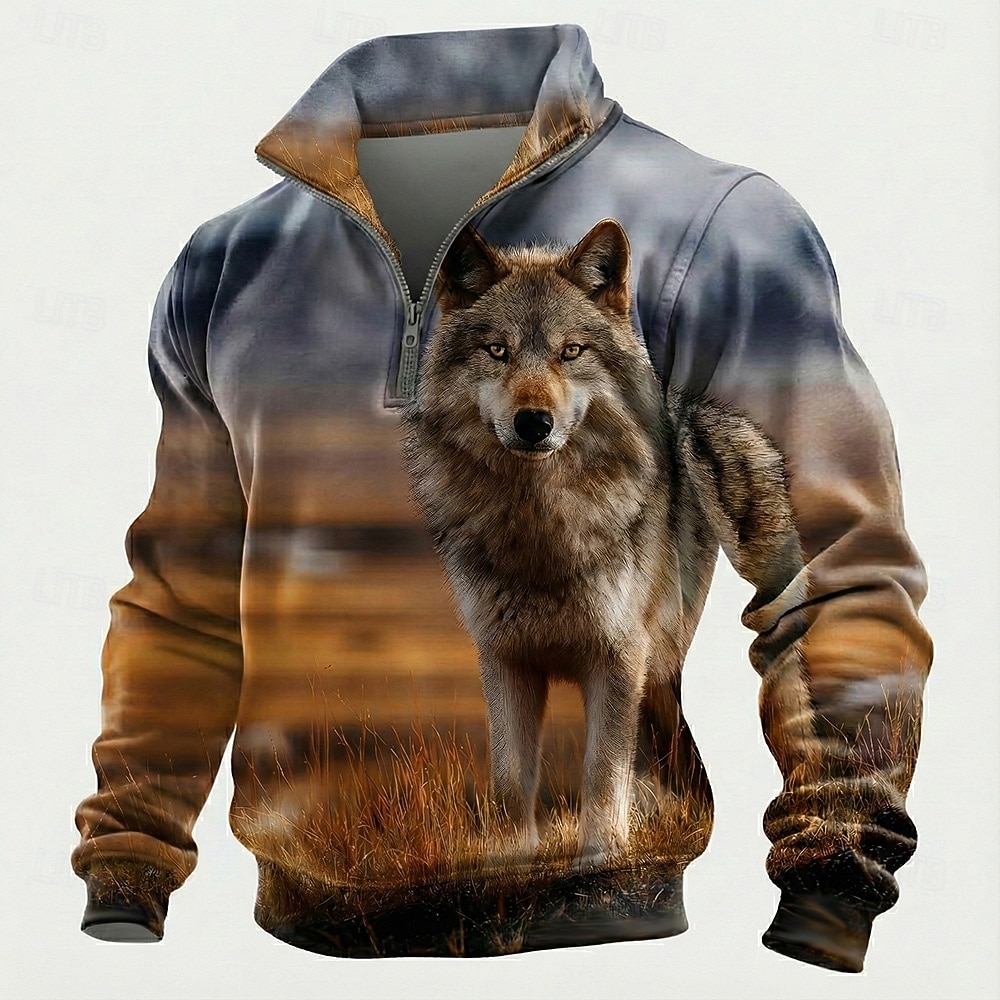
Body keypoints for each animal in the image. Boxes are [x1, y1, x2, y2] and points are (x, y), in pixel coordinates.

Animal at [402, 219, 800, 868]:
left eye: (571, 352)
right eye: (498, 350)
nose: (533, 422)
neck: (541, 528)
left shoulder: (617, 658)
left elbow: (602, 771)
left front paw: (601, 855)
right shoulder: (506, 660)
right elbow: (511, 779)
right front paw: (513, 862)